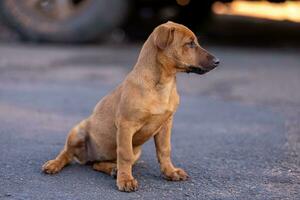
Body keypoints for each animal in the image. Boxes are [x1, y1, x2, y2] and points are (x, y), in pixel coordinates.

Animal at [42, 21, 219, 192]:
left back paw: (112, 169)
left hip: (135, 152)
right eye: (190, 44)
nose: (217, 62)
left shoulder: (165, 125)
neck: (163, 84)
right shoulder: (126, 126)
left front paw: (170, 172)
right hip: (77, 132)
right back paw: (53, 164)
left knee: (98, 165)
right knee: (66, 154)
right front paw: (126, 180)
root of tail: (88, 158)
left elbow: (164, 150)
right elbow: (124, 154)